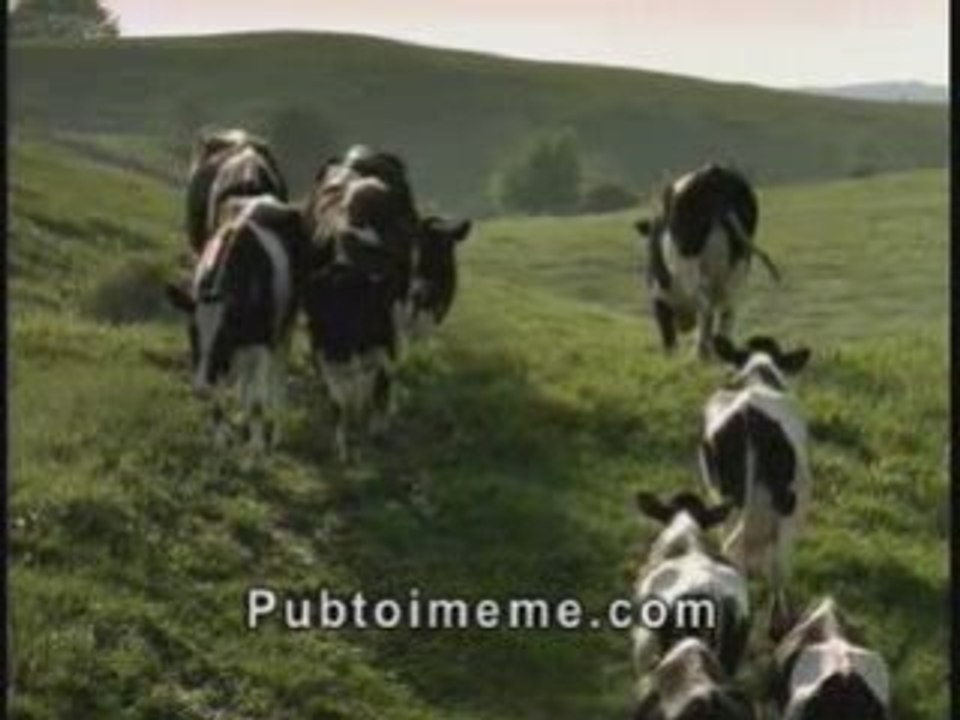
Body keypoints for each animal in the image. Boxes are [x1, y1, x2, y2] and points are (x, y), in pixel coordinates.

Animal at [166, 195, 305, 452]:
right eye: (192, 333)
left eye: (223, 336)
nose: (200, 389)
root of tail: (265, 199)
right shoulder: (225, 353)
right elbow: (221, 395)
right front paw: (221, 437)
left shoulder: (260, 342)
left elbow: (259, 401)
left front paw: (256, 447)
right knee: (245, 376)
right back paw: (242, 412)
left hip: (285, 325)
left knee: (277, 375)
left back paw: (276, 429)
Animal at [633, 164, 780, 359]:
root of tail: (714, 172)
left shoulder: (659, 295)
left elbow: (667, 332)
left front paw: (669, 356)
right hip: (739, 264)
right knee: (728, 310)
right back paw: (721, 350)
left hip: (689, 263)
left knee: (706, 308)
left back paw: (701, 352)